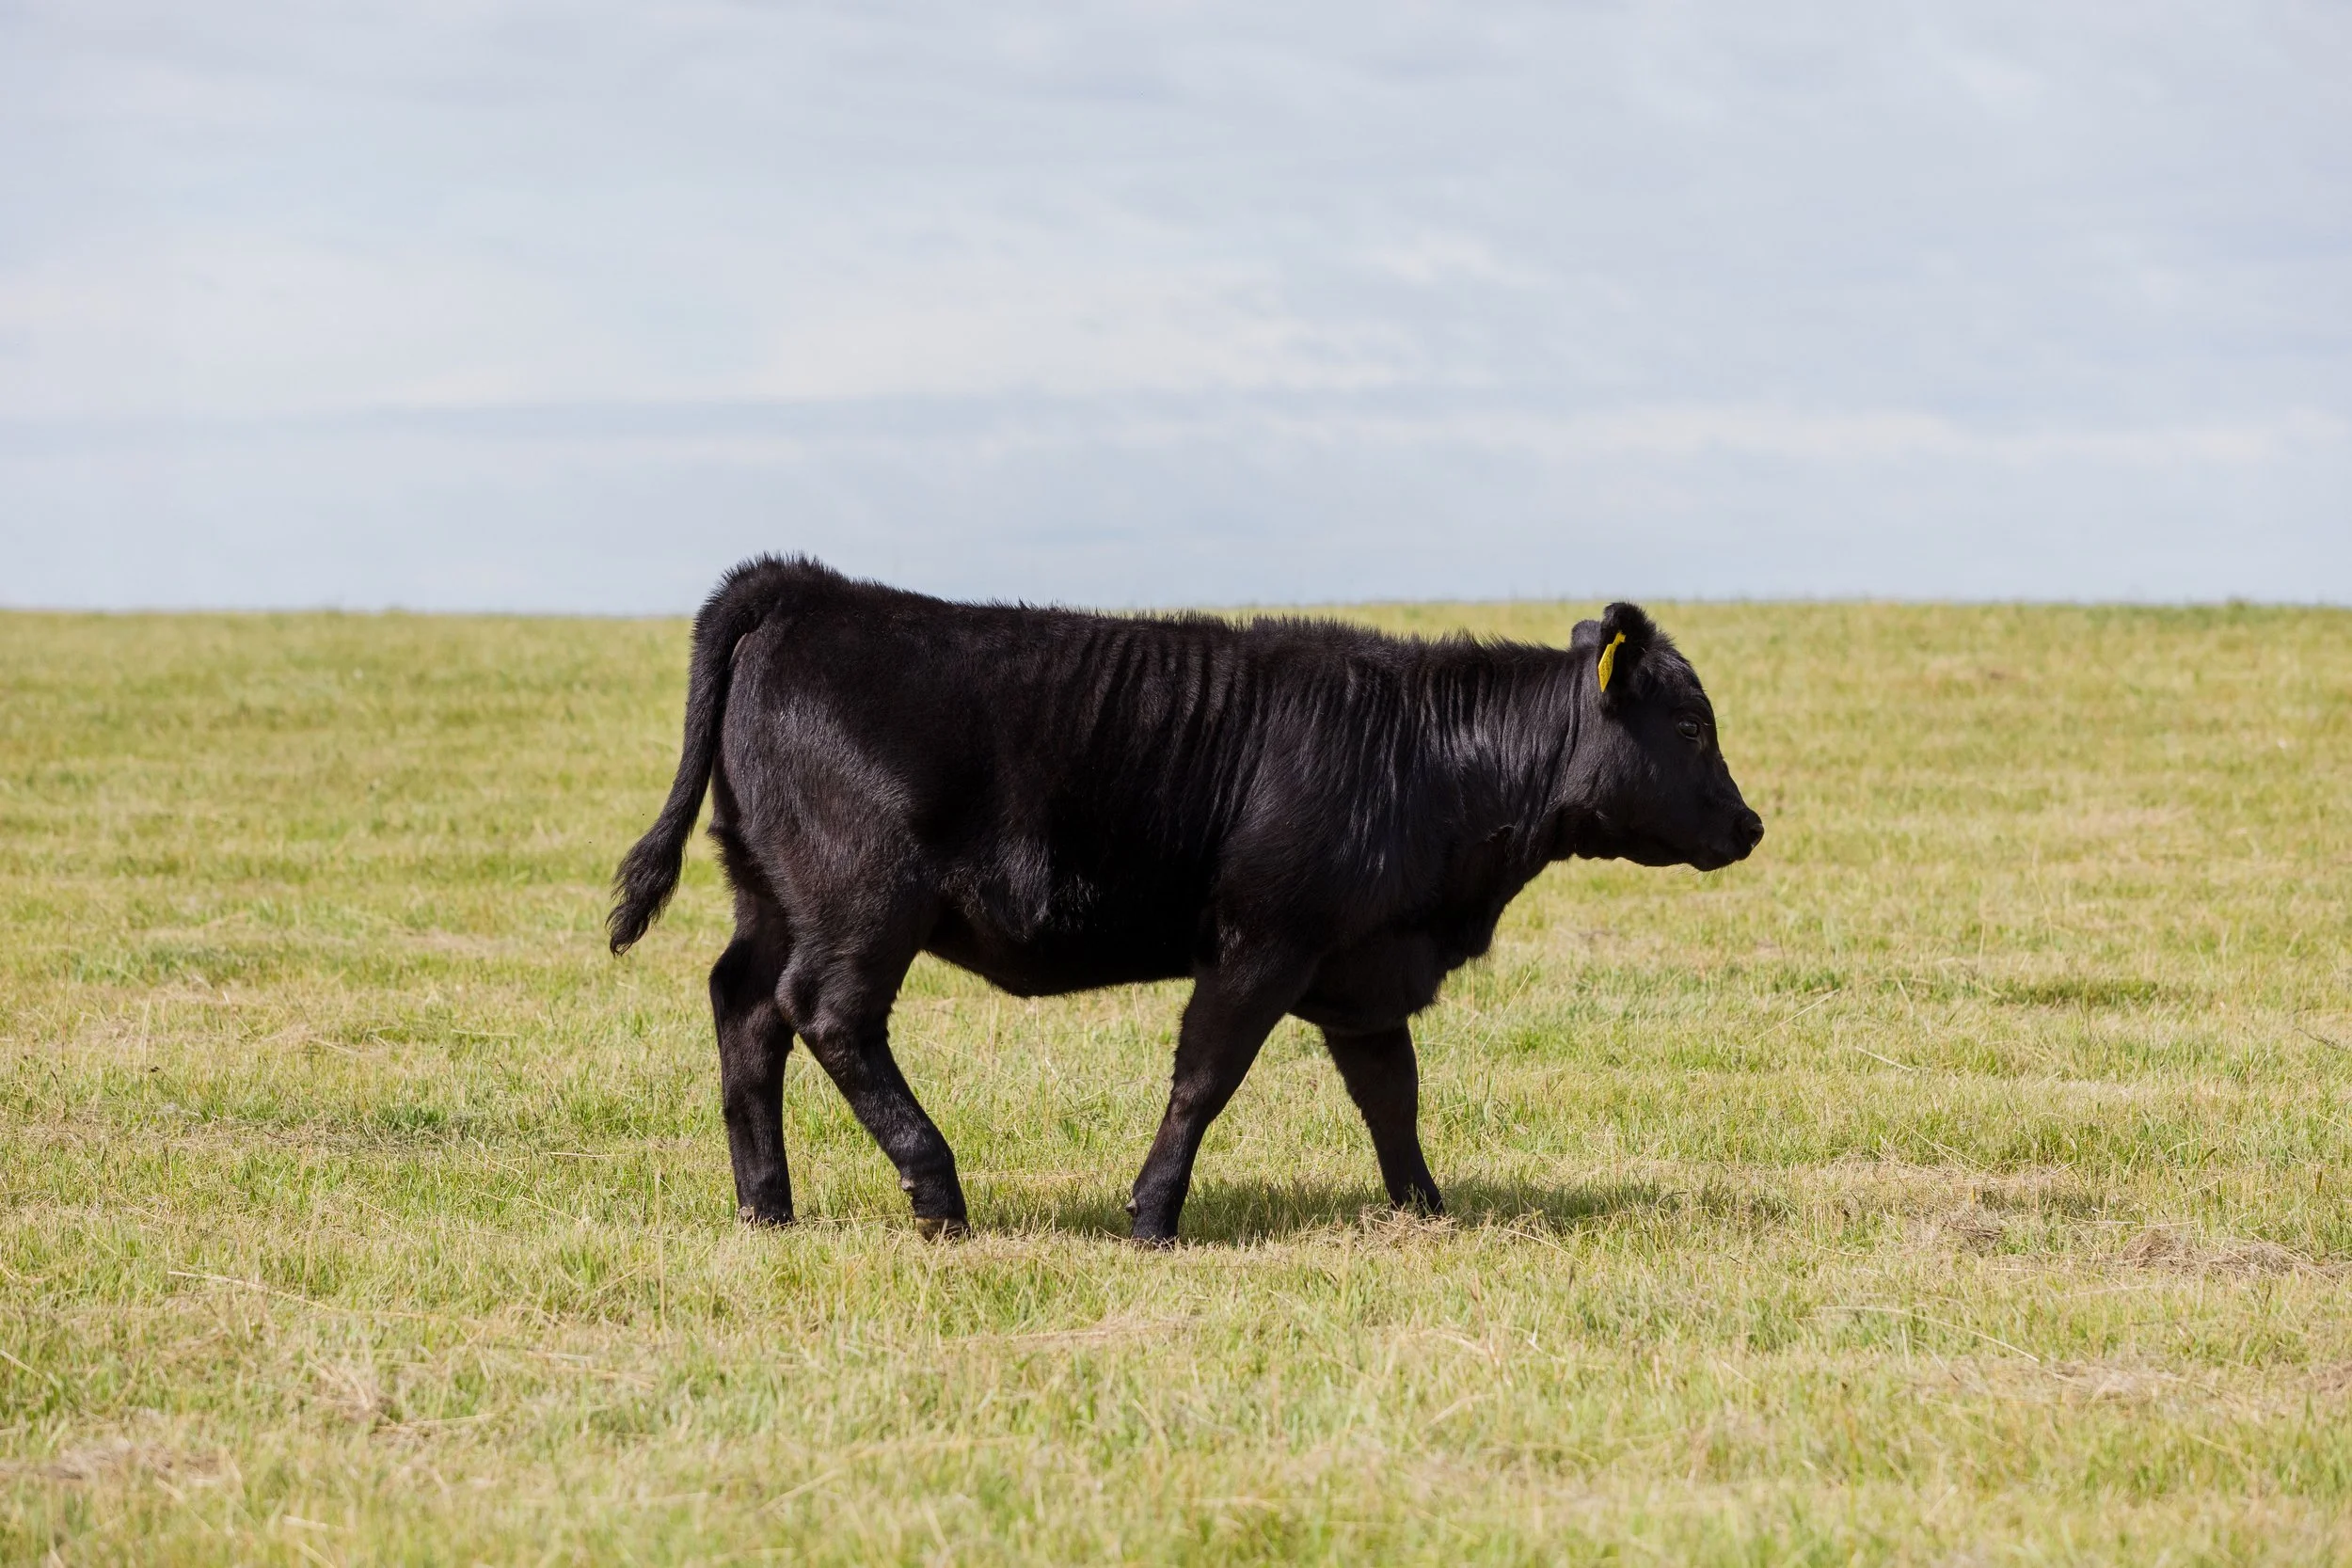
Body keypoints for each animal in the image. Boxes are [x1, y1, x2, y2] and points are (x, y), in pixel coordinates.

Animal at [609, 557, 1762, 1243]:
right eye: (1692, 724)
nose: (1750, 826)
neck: (1425, 757)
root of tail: (804, 585)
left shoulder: (1362, 965)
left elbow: (1393, 1093)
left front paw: (1425, 1209)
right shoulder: (1262, 943)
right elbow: (1204, 1077)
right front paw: (1153, 1215)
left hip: (770, 894)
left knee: (745, 1010)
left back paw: (768, 1207)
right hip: (862, 900)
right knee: (829, 1016)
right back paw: (938, 1193)